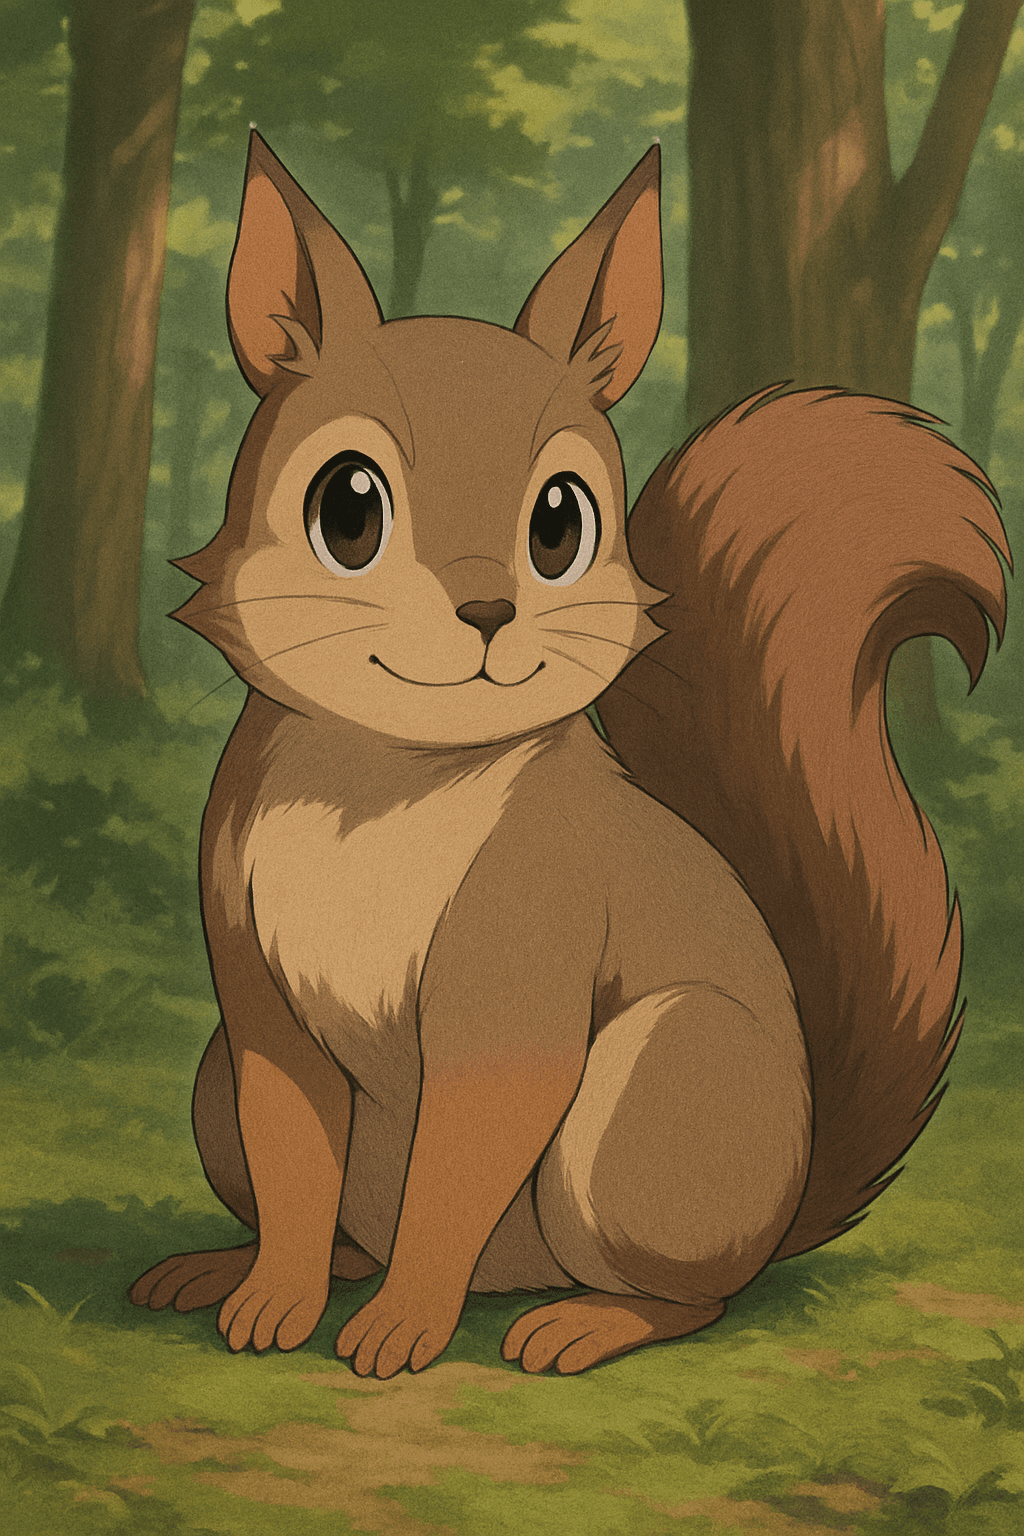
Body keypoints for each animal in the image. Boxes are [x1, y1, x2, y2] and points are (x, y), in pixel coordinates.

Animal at [130, 131, 1010, 1377]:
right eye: (347, 509)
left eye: (561, 521)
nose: (490, 613)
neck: (381, 776)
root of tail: (785, 1208)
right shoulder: (254, 993)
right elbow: (293, 1148)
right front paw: (274, 1303)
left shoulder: (526, 945)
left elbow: (468, 1150)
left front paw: (403, 1327)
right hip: (215, 1084)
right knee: (339, 1223)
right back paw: (232, 1268)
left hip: (658, 1093)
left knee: (696, 1296)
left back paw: (581, 1321)